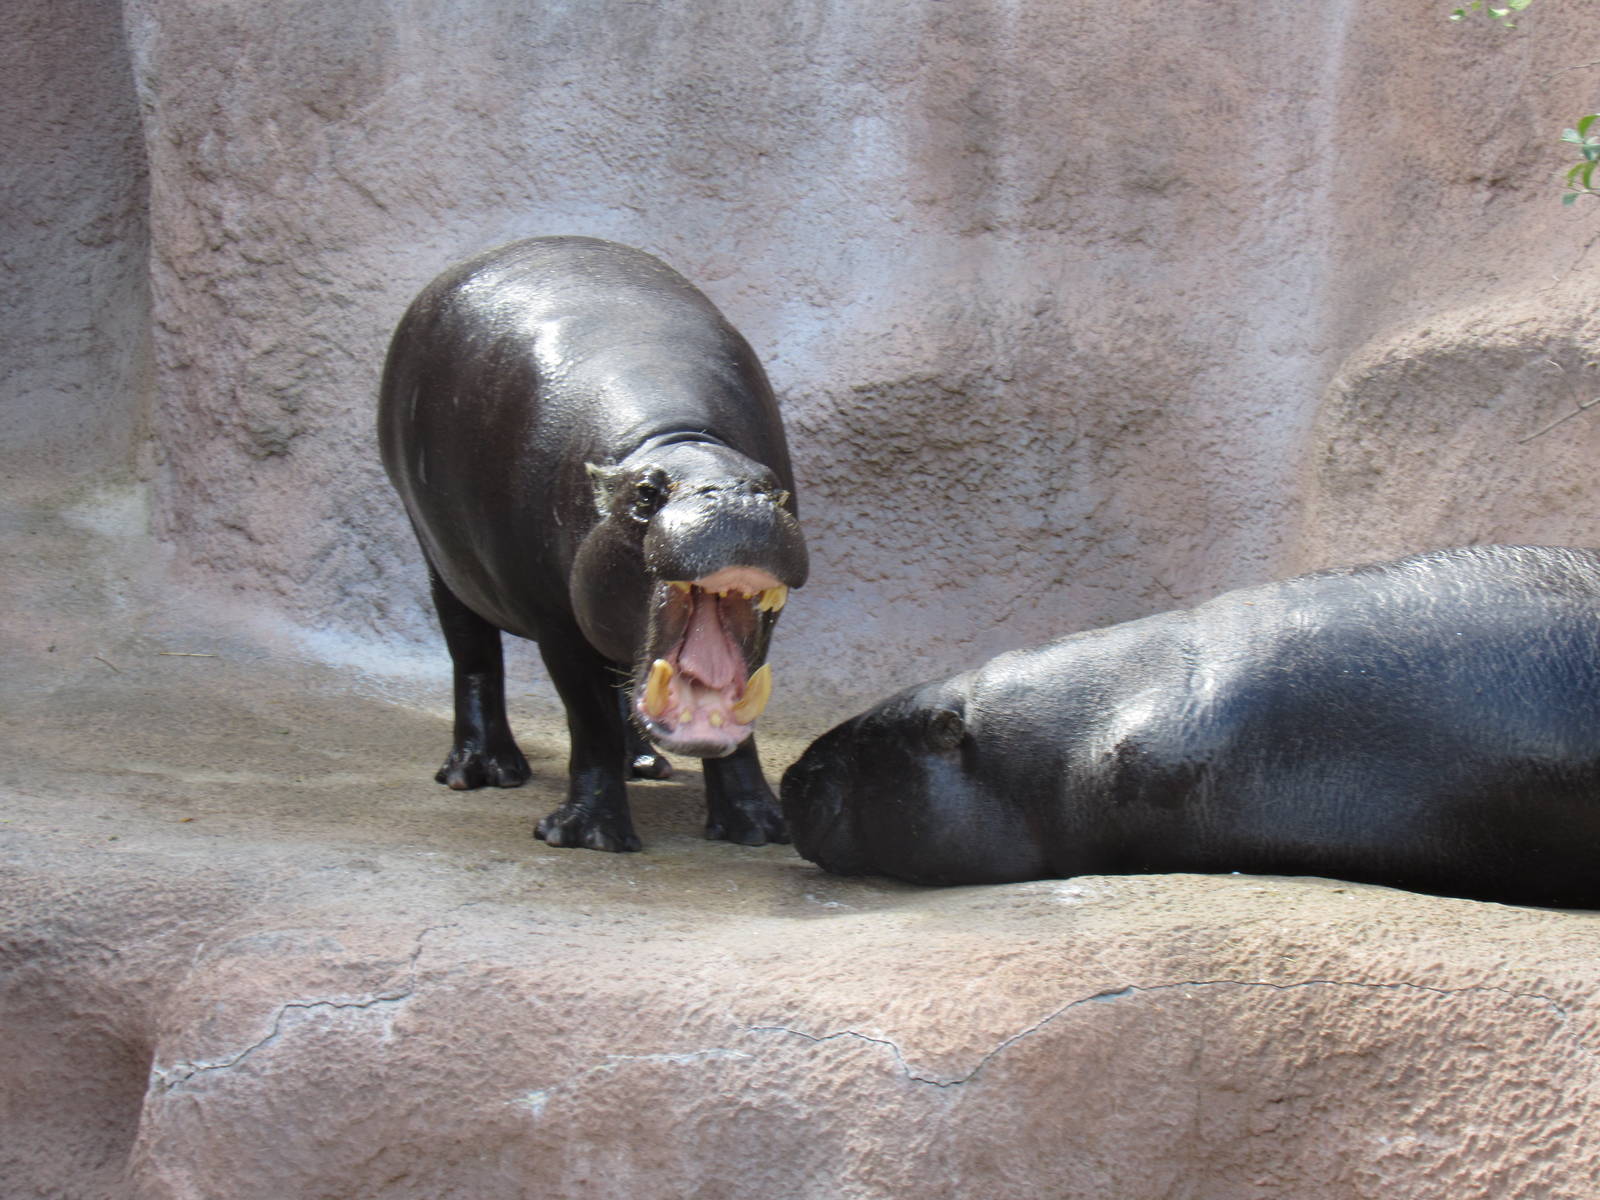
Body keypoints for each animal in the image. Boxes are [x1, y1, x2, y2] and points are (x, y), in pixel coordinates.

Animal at [378, 236, 807, 852]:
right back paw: (481, 772)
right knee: (473, 655)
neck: (680, 440)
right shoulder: (557, 621)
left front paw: (764, 829)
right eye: (646, 494)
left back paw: (646, 765)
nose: (735, 504)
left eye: (771, 489)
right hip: (439, 557)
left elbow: (737, 717)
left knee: (622, 674)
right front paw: (585, 837)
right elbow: (589, 720)